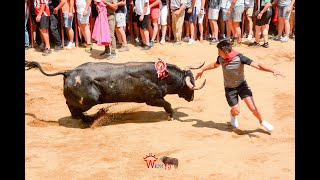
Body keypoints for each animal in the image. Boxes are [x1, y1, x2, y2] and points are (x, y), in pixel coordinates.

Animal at [24, 60, 205, 122]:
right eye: (190, 84)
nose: (192, 98)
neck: (161, 76)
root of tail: (69, 72)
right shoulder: (153, 99)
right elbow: (167, 104)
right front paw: (170, 115)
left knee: (71, 106)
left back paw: (85, 118)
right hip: (90, 100)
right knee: (72, 105)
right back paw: (86, 120)